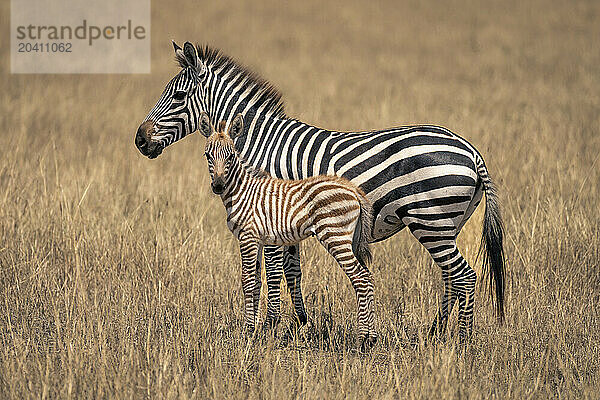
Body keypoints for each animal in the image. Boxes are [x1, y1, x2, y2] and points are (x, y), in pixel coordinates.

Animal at [199, 112, 378, 346]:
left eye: (230, 156)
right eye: (208, 156)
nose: (218, 186)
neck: (242, 190)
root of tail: (353, 190)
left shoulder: (247, 237)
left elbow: (247, 280)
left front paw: (247, 331)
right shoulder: (257, 239)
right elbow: (256, 282)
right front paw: (255, 330)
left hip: (335, 236)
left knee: (361, 278)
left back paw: (363, 339)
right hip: (350, 239)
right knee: (368, 277)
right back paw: (372, 337)